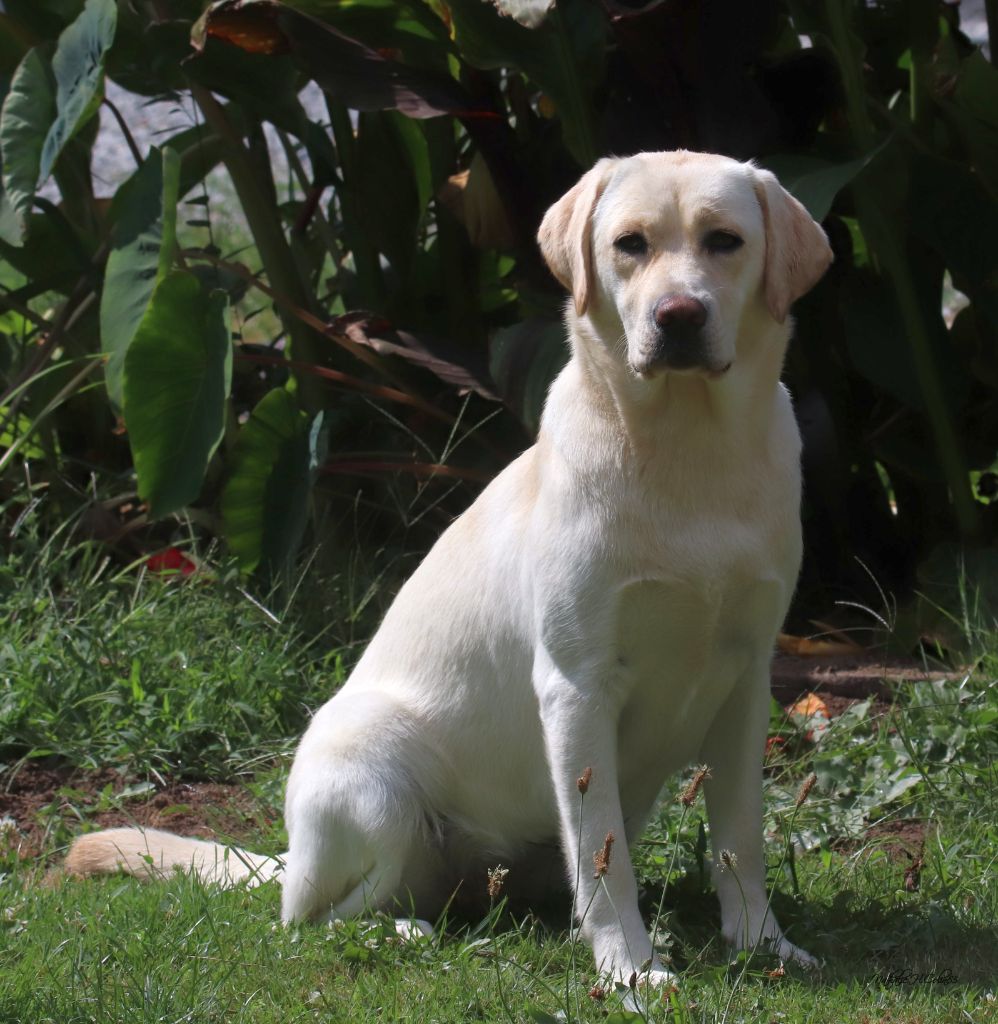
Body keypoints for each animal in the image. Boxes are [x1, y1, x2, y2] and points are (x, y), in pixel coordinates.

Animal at [66, 148, 835, 987]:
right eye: (630, 244)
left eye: (725, 241)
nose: (679, 316)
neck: (688, 450)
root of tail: (288, 861)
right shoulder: (576, 686)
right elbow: (603, 859)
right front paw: (630, 971)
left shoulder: (747, 675)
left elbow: (740, 836)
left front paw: (762, 943)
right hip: (373, 771)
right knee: (318, 918)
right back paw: (401, 932)